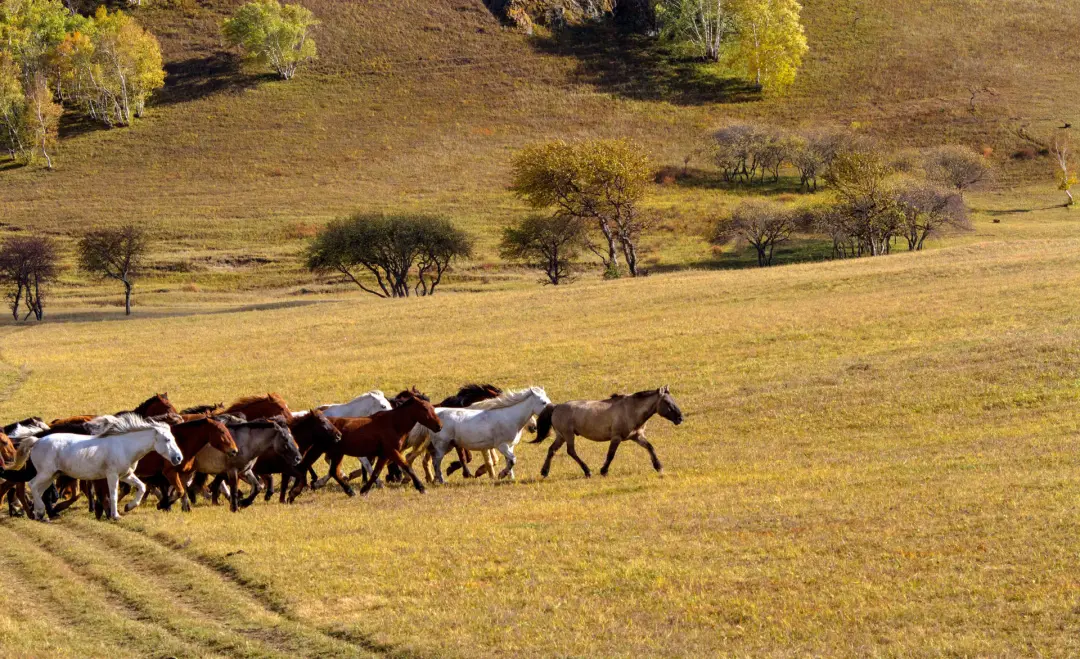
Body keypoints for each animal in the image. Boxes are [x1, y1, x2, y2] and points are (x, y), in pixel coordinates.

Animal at [12, 412, 182, 520]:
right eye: (167, 439)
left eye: (174, 438)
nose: (178, 458)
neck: (125, 446)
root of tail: (37, 441)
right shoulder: (112, 475)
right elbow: (113, 494)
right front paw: (115, 516)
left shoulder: (126, 475)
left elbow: (141, 487)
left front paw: (129, 507)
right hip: (46, 473)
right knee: (32, 485)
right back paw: (41, 512)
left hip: (52, 475)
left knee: (38, 490)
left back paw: (40, 514)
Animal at [416, 384, 552, 481]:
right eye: (543, 402)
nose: (534, 427)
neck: (509, 417)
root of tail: (436, 413)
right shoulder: (502, 446)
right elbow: (512, 460)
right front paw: (501, 475)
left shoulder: (510, 446)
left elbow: (509, 461)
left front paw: (511, 478)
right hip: (442, 445)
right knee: (436, 461)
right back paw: (442, 480)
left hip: (448, 445)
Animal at [531, 384, 682, 477]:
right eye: (667, 402)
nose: (680, 418)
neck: (631, 410)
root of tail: (556, 407)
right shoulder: (616, 437)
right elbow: (611, 455)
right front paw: (603, 471)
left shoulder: (636, 436)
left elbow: (650, 447)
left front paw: (658, 466)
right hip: (568, 435)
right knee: (571, 451)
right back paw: (587, 471)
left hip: (561, 436)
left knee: (552, 450)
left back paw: (544, 472)